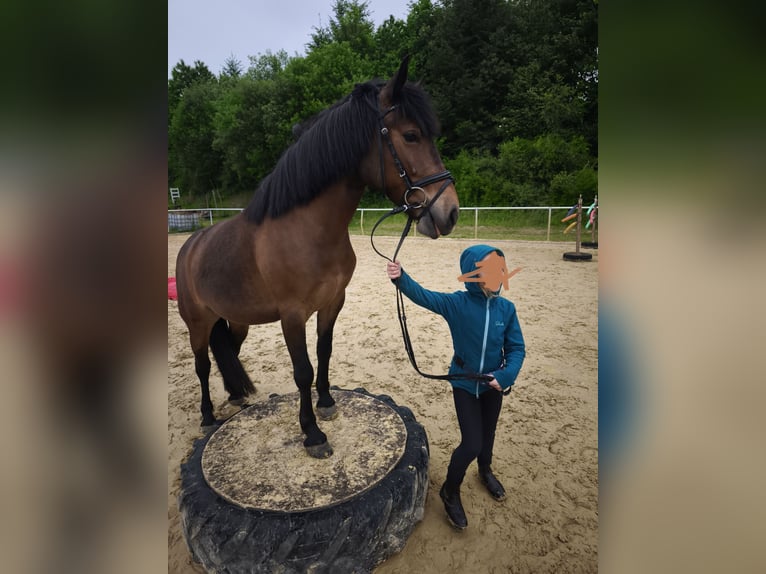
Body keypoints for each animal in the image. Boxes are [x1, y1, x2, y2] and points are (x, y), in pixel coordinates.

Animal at [175, 57, 459, 458]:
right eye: (410, 136)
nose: (450, 212)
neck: (308, 230)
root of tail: (190, 246)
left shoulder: (332, 302)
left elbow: (324, 351)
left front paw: (325, 403)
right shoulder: (292, 316)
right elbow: (303, 371)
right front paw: (312, 433)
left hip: (236, 320)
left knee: (227, 351)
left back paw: (236, 397)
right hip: (197, 323)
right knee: (201, 365)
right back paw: (207, 416)